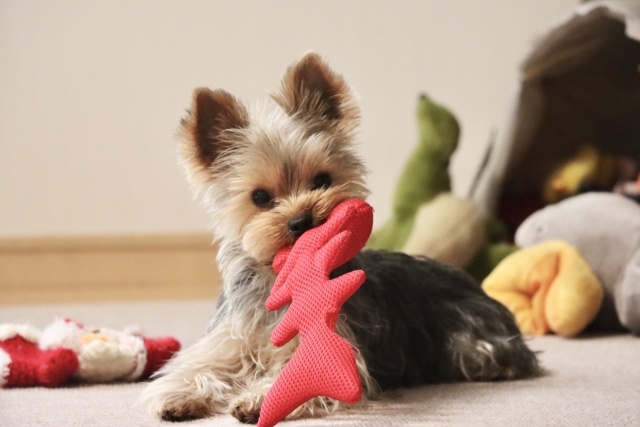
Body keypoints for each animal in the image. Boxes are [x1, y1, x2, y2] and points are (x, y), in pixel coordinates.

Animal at [140, 52, 540, 424]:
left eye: (322, 180)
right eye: (260, 197)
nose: (301, 220)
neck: (284, 279)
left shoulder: (336, 353)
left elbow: (302, 376)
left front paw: (258, 398)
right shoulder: (227, 339)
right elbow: (196, 365)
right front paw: (178, 395)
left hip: (470, 337)